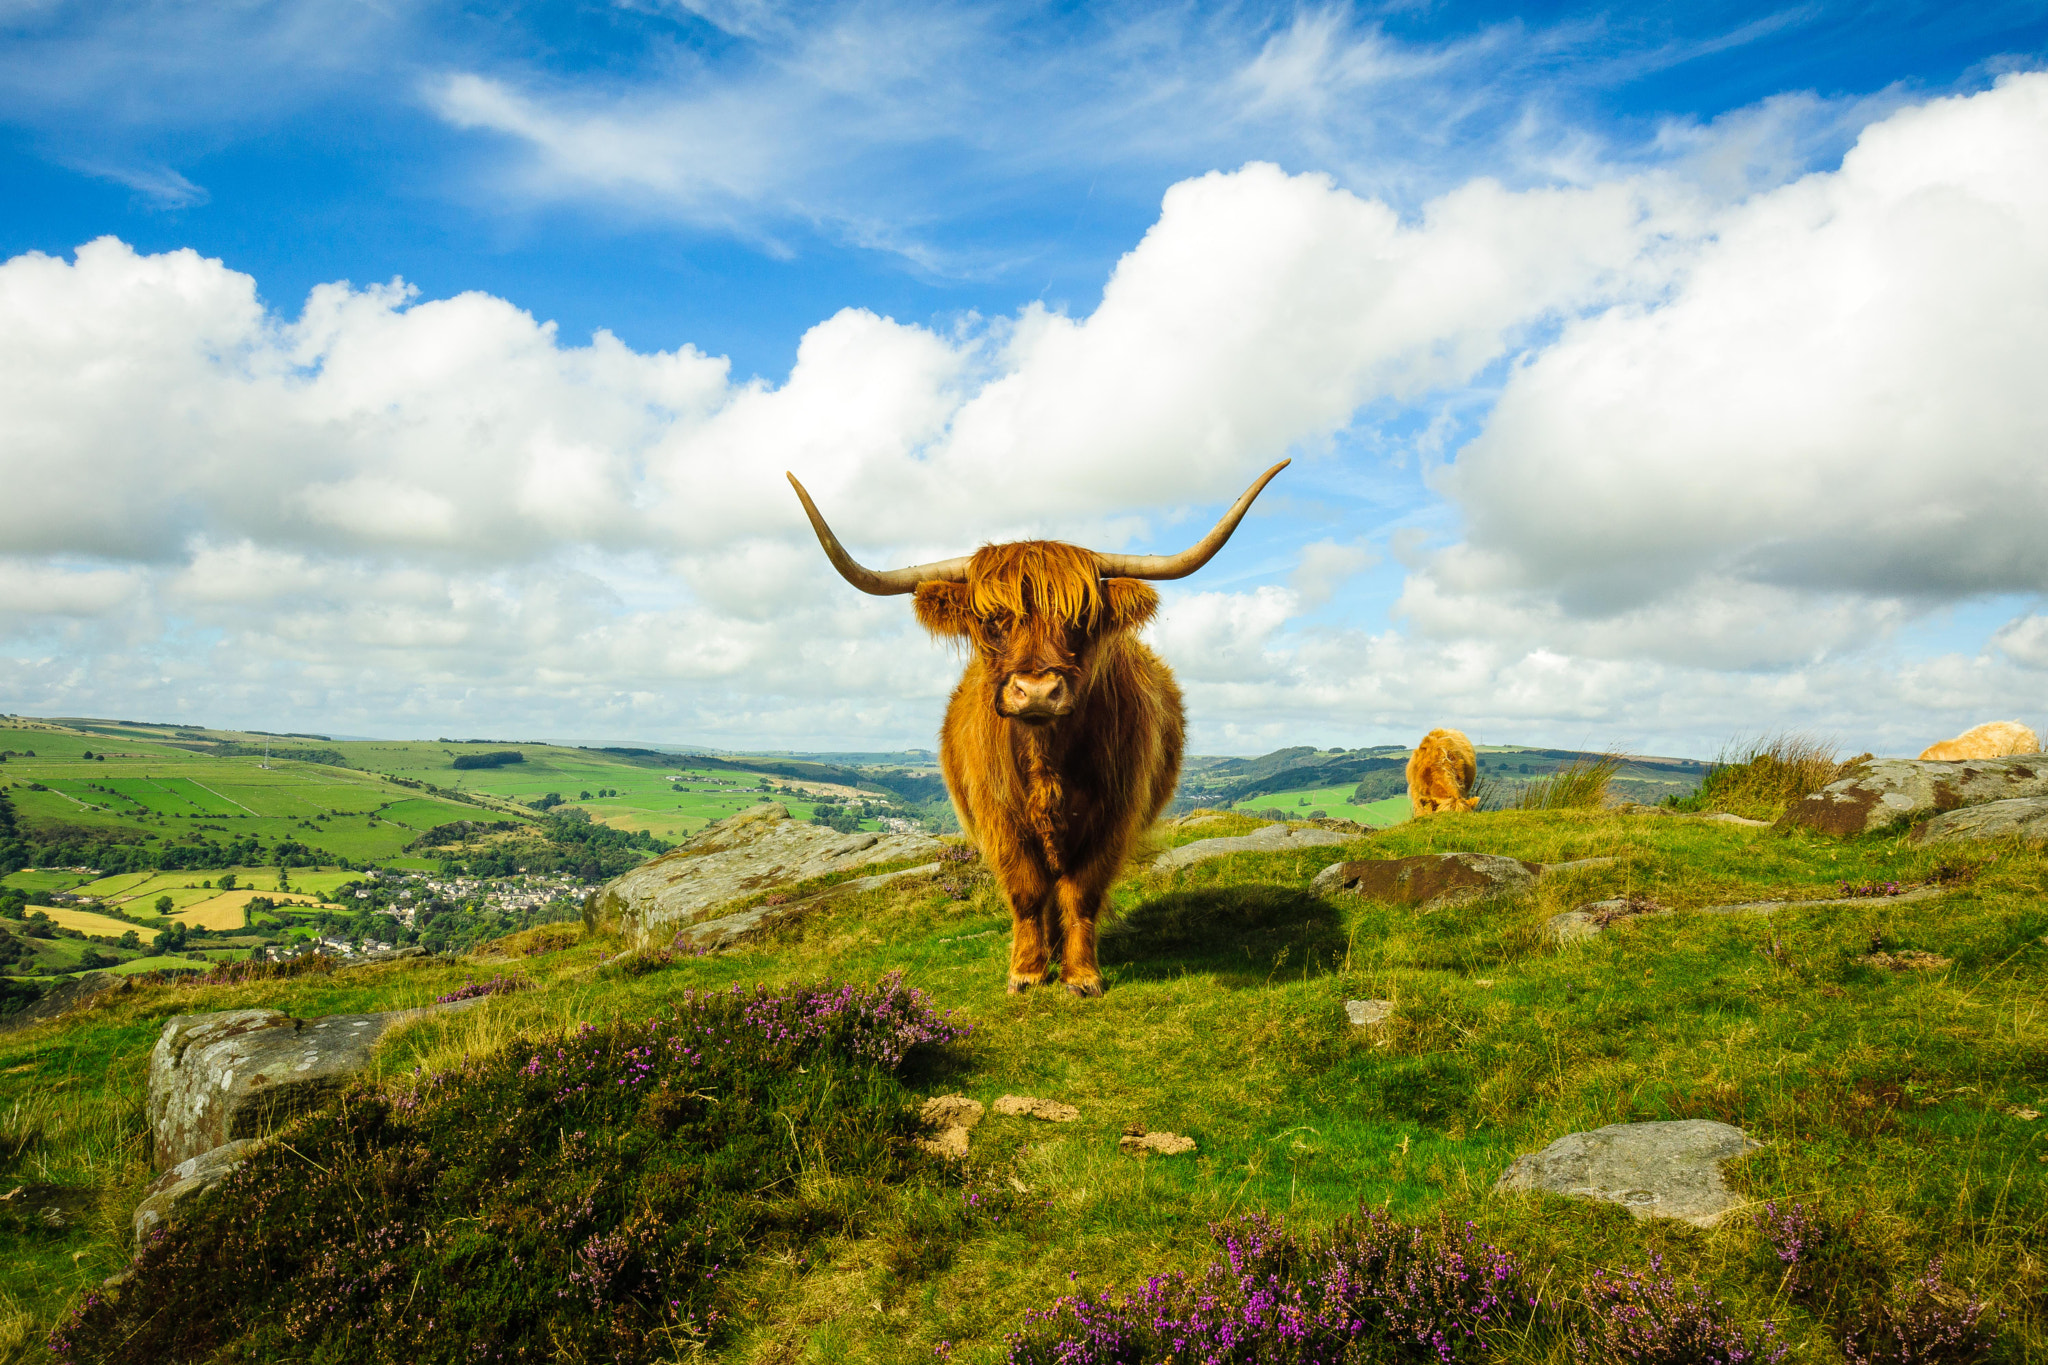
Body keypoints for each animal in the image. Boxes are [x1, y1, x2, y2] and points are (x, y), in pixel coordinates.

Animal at [782, 458, 1277, 994]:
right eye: (991, 620)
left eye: (1081, 618)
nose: (1037, 691)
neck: (1045, 760)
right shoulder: (998, 818)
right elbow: (1025, 891)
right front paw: (1026, 971)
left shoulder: (1114, 816)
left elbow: (1081, 893)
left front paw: (1081, 975)